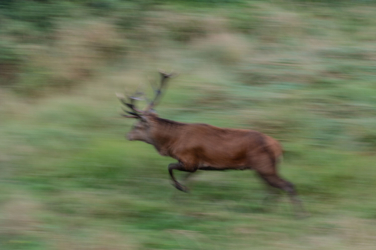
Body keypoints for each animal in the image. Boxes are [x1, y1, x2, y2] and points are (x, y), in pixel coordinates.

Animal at [117, 72, 306, 217]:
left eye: (136, 126)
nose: (127, 135)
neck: (171, 143)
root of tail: (279, 147)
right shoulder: (196, 165)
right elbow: (187, 177)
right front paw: (182, 192)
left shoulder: (189, 160)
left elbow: (170, 168)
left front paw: (180, 189)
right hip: (262, 167)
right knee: (273, 189)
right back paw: (266, 209)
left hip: (264, 165)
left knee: (287, 186)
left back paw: (300, 214)